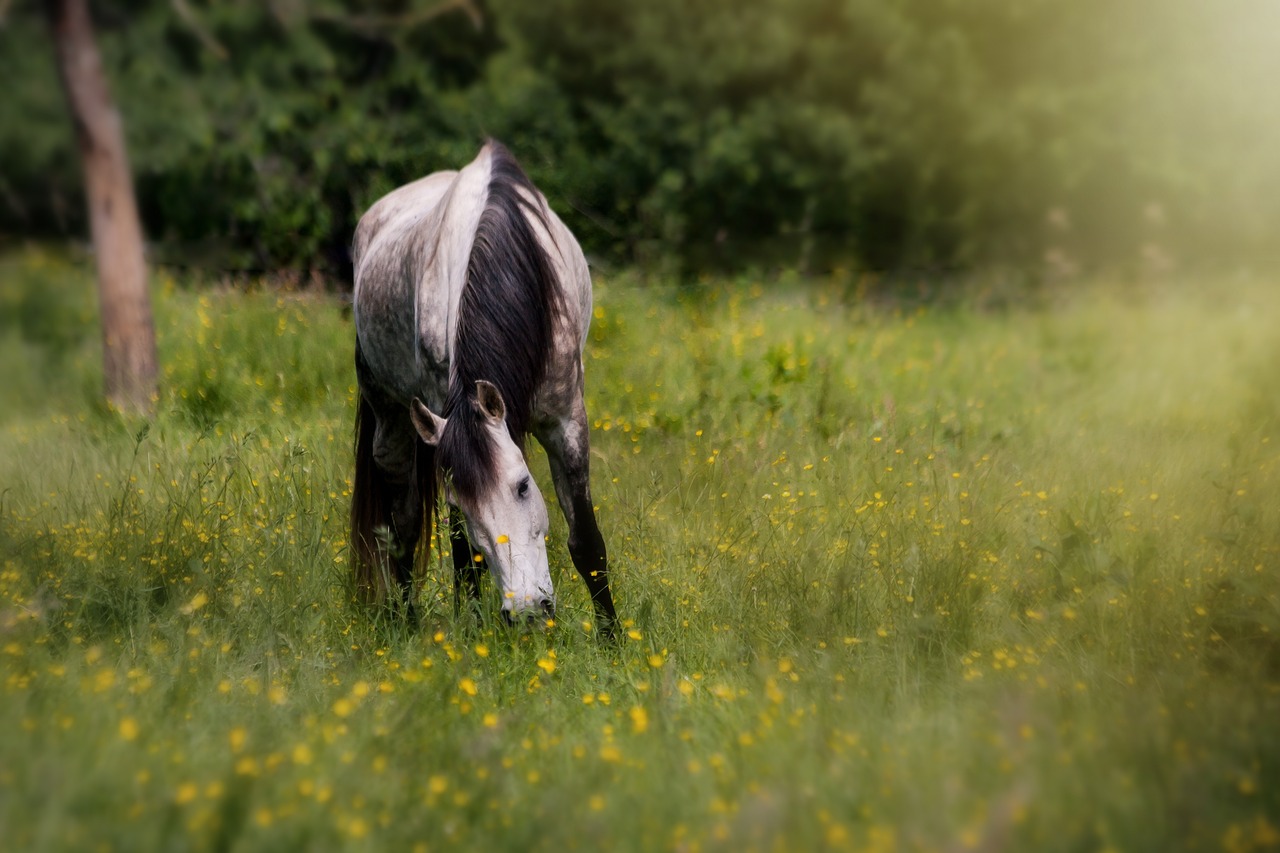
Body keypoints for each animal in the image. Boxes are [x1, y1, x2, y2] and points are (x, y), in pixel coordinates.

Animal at [345, 139, 614, 630]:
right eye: (464, 503)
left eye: (523, 486)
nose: (526, 610)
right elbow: (461, 553)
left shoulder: (567, 420)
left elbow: (586, 542)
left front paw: (614, 639)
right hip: (390, 420)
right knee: (403, 527)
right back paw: (407, 624)